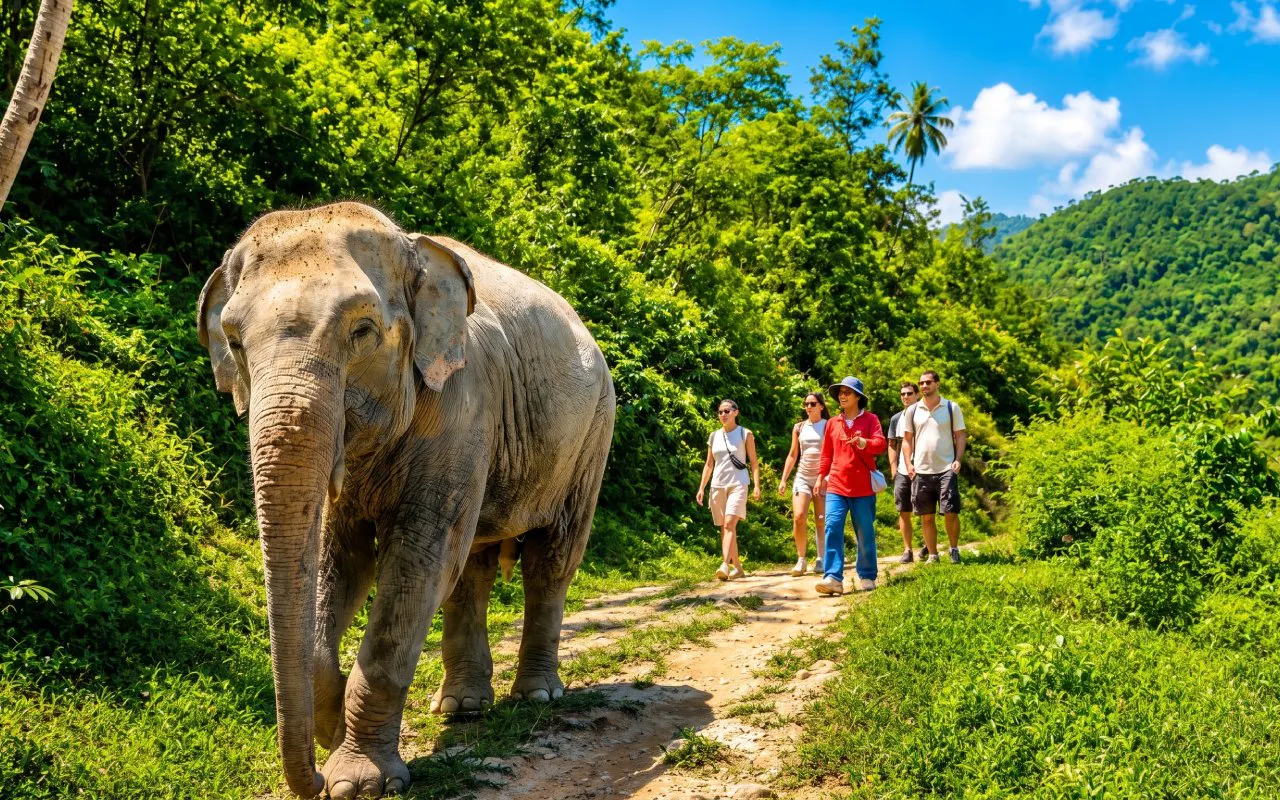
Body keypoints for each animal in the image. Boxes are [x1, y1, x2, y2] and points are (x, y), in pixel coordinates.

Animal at [196, 202, 615, 798]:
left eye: (363, 331)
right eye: (233, 341)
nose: (313, 778)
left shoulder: (464, 404)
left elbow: (418, 560)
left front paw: (357, 783)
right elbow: (341, 560)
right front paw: (330, 724)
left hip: (592, 436)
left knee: (550, 559)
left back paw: (537, 695)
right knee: (473, 567)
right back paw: (462, 708)